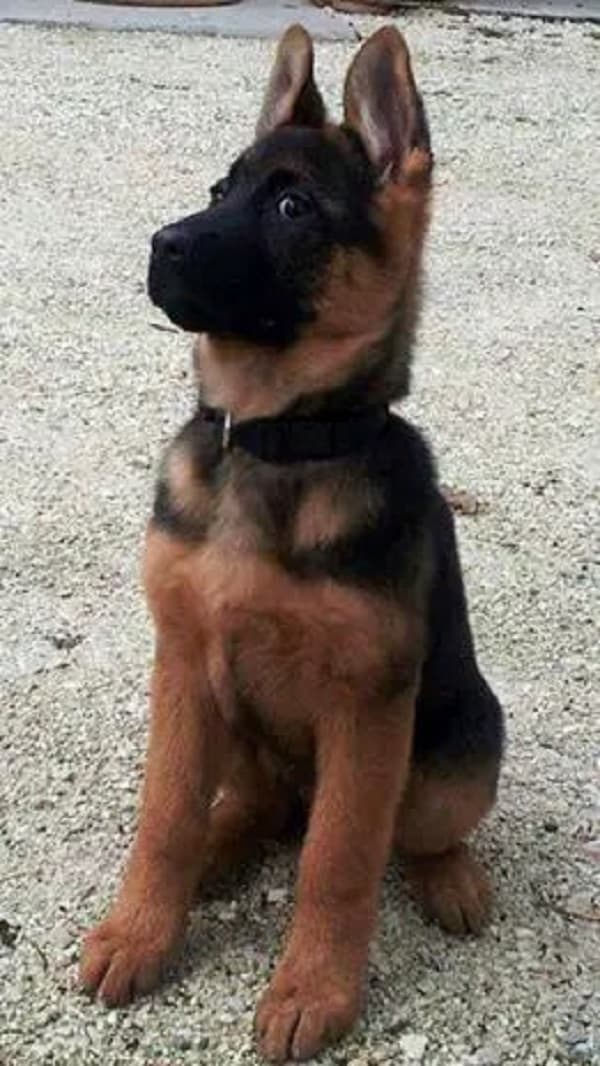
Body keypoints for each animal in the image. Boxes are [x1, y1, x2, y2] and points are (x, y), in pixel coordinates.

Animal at [79, 29, 503, 1061]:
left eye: (291, 206)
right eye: (219, 186)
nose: (162, 244)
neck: (273, 441)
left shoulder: (366, 707)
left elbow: (338, 862)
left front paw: (314, 987)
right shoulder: (181, 661)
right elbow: (164, 817)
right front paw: (139, 931)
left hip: (455, 754)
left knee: (405, 832)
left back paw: (451, 876)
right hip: (224, 716)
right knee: (256, 809)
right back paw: (223, 844)